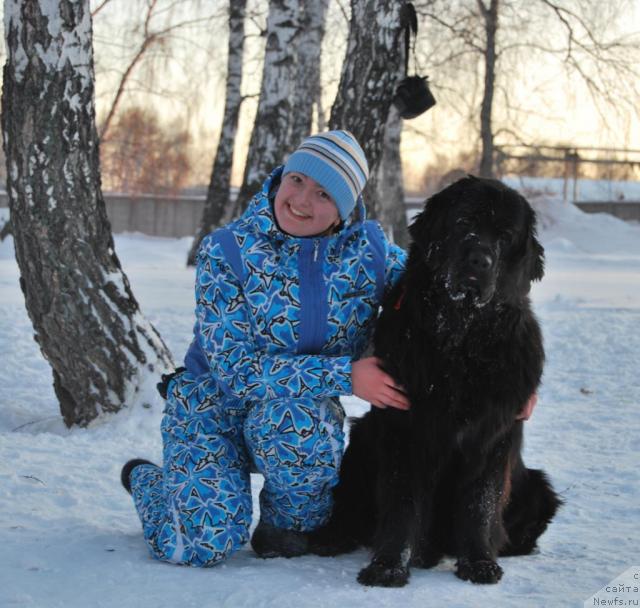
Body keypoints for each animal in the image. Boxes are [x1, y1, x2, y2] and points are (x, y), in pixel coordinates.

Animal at [308, 177, 560, 588]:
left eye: (505, 237)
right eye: (462, 222)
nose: (479, 261)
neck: (460, 341)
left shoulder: (492, 437)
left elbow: (480, 503)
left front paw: (479, 563)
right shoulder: (405, 431)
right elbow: (402, 503)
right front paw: (388, 566)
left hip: (538, 488)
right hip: (361, 442)